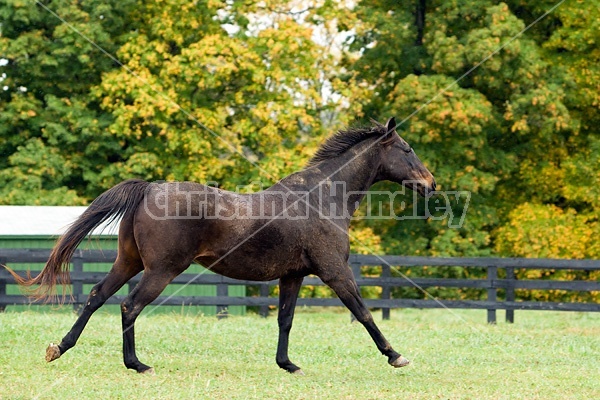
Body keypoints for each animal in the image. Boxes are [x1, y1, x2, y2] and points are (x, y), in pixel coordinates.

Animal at [4, 117, 436, 374]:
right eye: (408, 149)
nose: (431, 185)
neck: (322, 196)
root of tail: (150, 189)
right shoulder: (335, 271)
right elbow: (363, 313)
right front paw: (396, 356)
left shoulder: (293, 276)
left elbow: (285, 320)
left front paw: (287, 364)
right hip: (161, 270)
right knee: (129, 305)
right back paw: (137, 364)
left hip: (128, 262)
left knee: (96, 296)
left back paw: (59, 348)